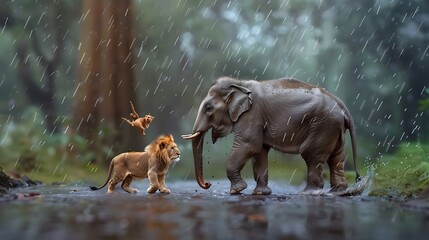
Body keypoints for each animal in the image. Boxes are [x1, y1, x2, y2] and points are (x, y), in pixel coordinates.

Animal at [180, 77, 358, 195]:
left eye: (209, 108)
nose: (208, 184)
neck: (240, 83)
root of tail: (342, 106)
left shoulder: (252, 115)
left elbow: (249, 145)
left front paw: (237, 191)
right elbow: (259, 152)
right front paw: (261, 193)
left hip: (323, 125)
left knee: (312, 155)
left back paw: (309, 193)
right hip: (333, 128)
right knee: (336, 158)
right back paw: (338, 192)